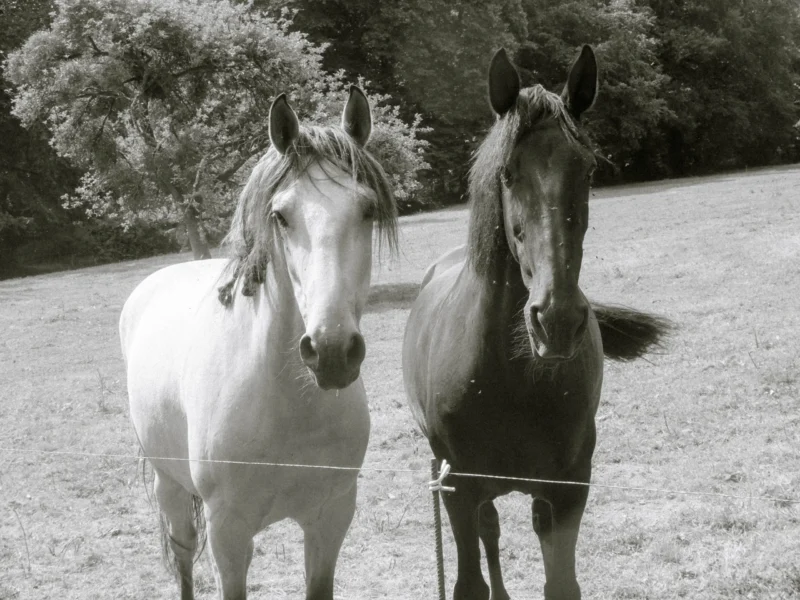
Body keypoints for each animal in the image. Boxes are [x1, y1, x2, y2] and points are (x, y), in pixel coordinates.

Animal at [120, 87, 397, 600]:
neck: (287, 403)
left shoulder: (330, 518)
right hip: (170, 488)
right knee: (183, 557)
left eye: (367, 209)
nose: (331, 351)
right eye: (280, 215)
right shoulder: (228, 534)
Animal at [402, 47, 671, 600]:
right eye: (507, 173)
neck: (508, 377)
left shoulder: (567, 492)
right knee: (489, 530)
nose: (557, 320)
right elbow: (469, 581)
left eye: (587, 171)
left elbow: (562, 583)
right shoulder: (457, 490)